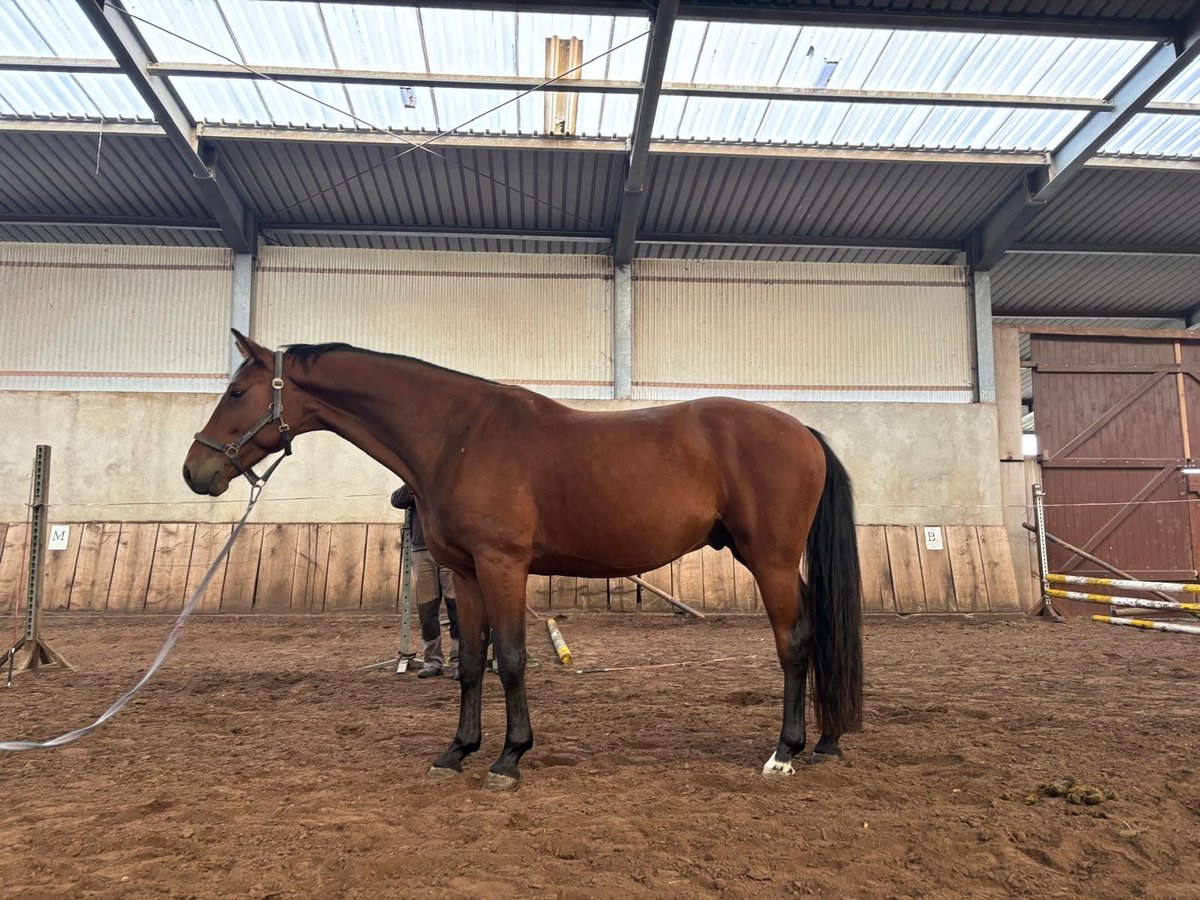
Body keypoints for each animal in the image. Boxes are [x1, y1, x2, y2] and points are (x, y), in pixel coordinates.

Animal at [183, 330, 863, 790]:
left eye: (237, 391)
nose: (196, 471)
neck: (458, 435)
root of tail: (802, 432)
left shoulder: (502, 565)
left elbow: (509, 657)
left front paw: (510, 758)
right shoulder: (465, 572)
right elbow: (469, 663)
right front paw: (457, 751)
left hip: (771, 562)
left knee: (794, 643)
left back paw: (784, 751)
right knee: (818, 634)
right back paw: (826, 741)